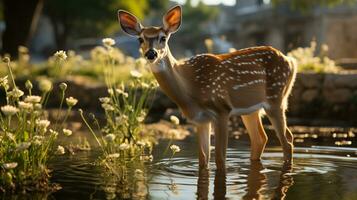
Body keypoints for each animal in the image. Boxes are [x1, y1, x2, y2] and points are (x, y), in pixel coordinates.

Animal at [118, 5, 296, 170]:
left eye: (163, 38)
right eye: (140, 39)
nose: (151, 53)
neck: (190, 88)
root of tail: (291, 61)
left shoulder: (222, 109)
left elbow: (220, 159)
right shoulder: (200, 119)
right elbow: (203, 159)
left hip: (276, 98)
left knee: (287, 142)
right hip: (251, 109)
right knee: (262, 138)